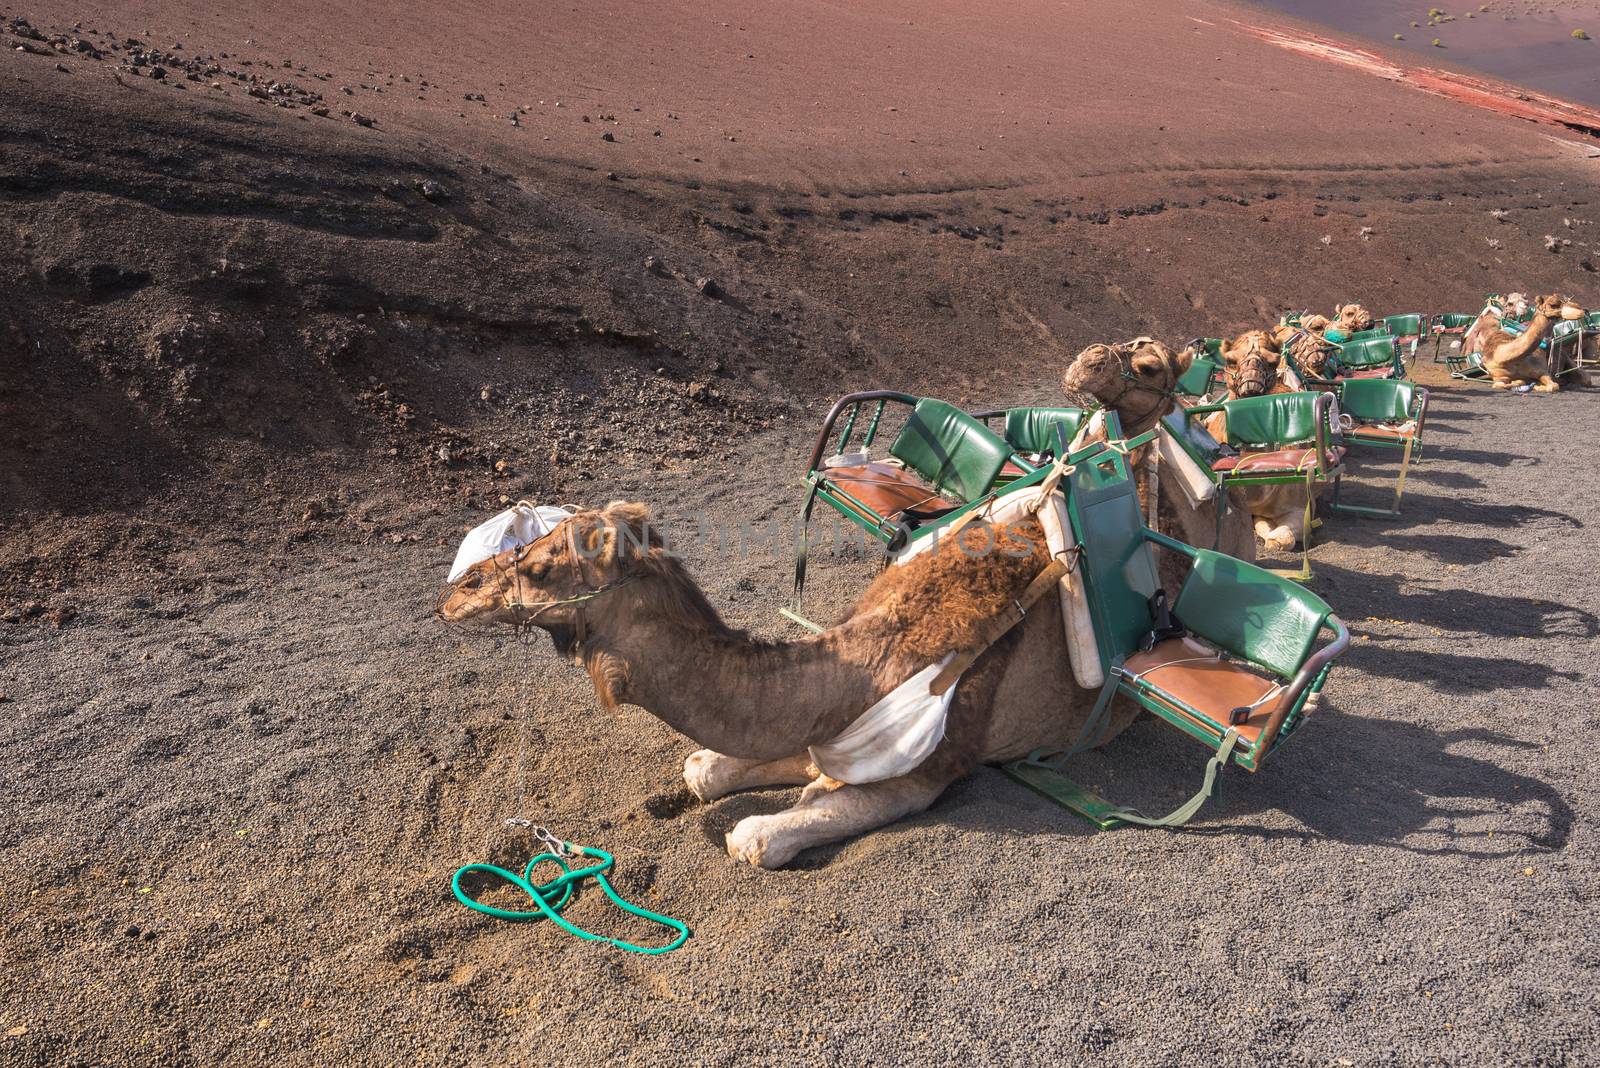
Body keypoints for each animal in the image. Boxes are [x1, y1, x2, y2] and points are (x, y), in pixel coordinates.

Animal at [432, 502, 1145, 869]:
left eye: (540, 566)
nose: (454, 593)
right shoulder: (823, 728)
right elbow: (708, 770)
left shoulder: (932, 767)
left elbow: (756, 836)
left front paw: (767, 823)